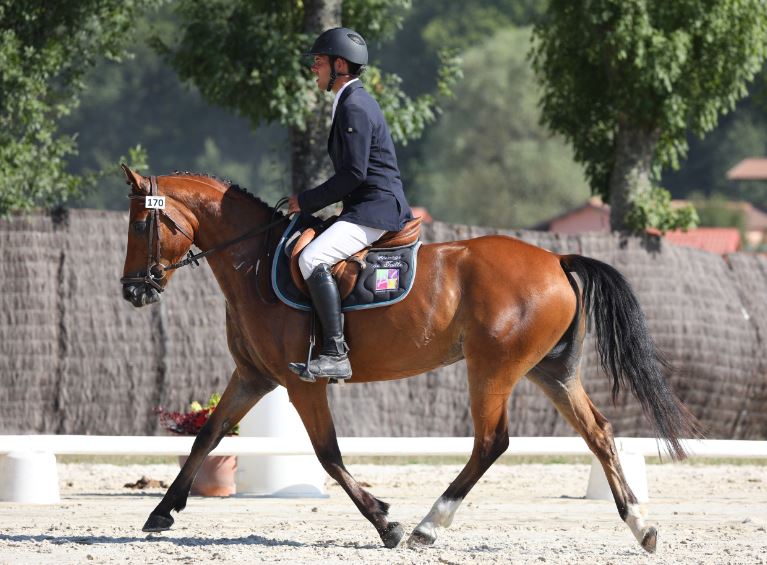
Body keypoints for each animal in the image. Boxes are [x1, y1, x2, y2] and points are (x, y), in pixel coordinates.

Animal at [118, 164, 696, 552]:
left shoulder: (302, 383)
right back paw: (642, 527)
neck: (256, 261)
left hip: (493, 368)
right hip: (550, 371)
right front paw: (161, 513)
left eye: (143, 226)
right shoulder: (253, 376)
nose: (133, 291)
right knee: (597, 431)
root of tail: (556, 259)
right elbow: (208, 436)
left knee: (492, 441)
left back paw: (426, 526)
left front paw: (386, 522)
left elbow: (328, 454)